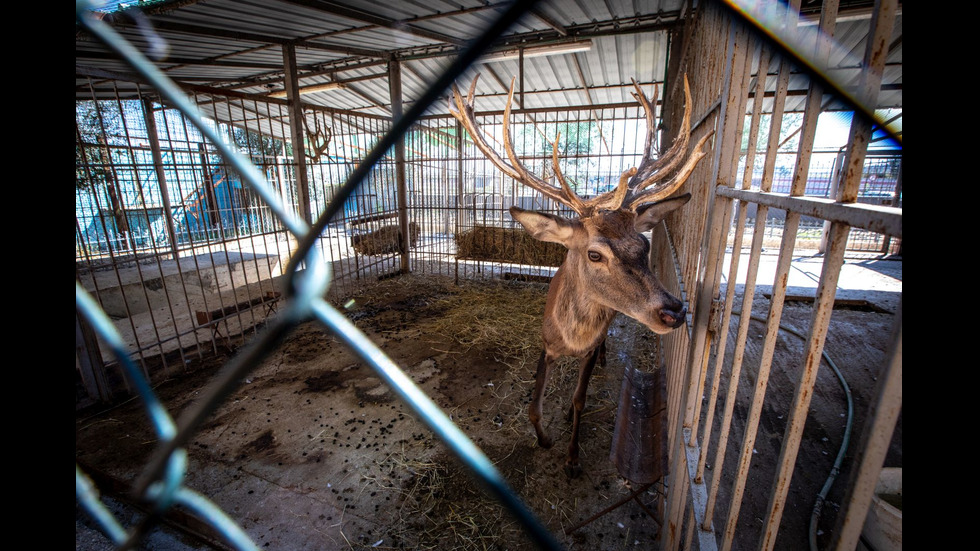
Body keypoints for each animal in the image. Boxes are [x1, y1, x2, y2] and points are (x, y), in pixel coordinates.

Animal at [446, 73, 712, 478]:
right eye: (594, 253)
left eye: (644, 244)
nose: (674, 310)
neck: (571, 340)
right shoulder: (545, 343)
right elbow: (534, 404)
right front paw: (544, 440)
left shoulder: (587, 350)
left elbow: (579, 401)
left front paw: (572, 459)